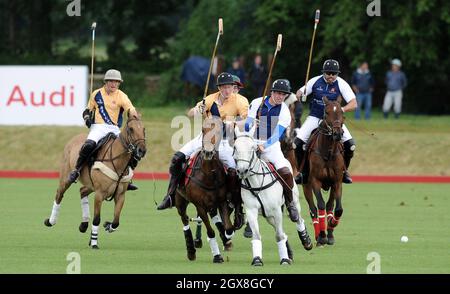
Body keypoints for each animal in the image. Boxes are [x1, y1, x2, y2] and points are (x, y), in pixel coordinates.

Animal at [44, 111, 147, 249]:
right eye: (131, 129)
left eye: (144, 129)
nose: (142, 150)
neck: (117, 162)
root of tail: (74, 138)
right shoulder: (99, 194)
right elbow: (97, 219)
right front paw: (94, 243)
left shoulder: (120, 195)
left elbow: (116, 220)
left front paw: (108, 226)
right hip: (66, 178)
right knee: (59, 194)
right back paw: (51, 221)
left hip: (90, 185)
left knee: (82, 191)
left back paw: (83, 225)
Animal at [175, 116, 234, 262]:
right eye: (203, 130)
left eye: (219, 131)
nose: (208, 152)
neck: (208, 175)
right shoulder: (200, 205)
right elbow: (210, 231)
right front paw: (217, 256)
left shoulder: (221, 201)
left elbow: (228, 228)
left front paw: (227, 239)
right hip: (180, 201)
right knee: (185, 219)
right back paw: (191, 251)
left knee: (214, 217)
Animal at [230, 126, 312, 266]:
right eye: (235, 147)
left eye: (252, 147)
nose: (242, 170)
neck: (257, 182)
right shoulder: (251, 211)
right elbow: (257, 235)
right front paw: (257, 259)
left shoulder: (276, 210)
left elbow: (278, 236)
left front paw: (284, 260)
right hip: (268, 216)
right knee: (282, 232)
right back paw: (289, 253)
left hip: (293, 201)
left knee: (298, 219)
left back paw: (306, 241)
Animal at [300, 96, 346, 246]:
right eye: (326, 112)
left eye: (342, 112)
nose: (337, 134)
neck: (328, 152)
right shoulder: (315, 181)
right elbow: (319, 205)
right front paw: (322, 236)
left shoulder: (337, 182)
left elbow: (338, 209)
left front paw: (331, 223)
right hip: (306, 185)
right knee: (313, 209)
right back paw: (318, 236)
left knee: (330, 206)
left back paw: (330, 234)